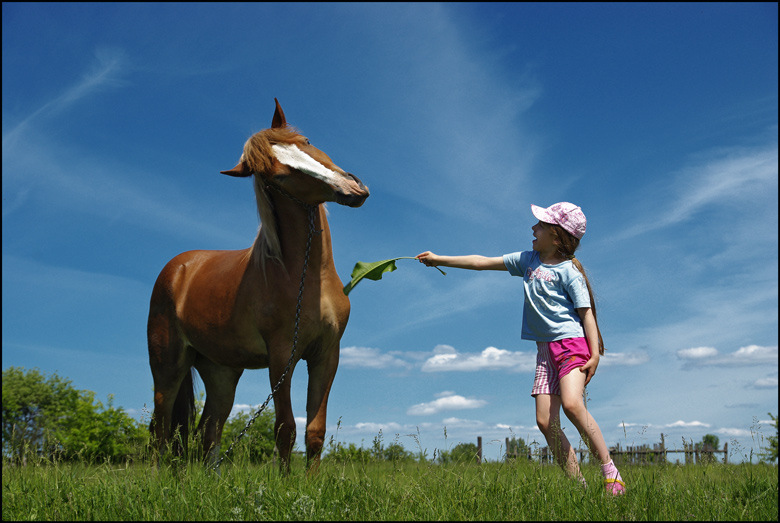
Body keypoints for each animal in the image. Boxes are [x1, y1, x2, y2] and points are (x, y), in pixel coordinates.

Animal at [148, 98, 370, 474]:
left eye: (306, 141)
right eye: (277, 176)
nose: (352, 189)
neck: (305, 278)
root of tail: (178, 269)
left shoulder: (327, 354)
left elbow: (315, 430)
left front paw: (313, 482)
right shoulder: (282, 357)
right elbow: (285, 428)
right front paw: (285, 483)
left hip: (221, 371)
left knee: (210, 430)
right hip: (168, 366)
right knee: (162, 429)